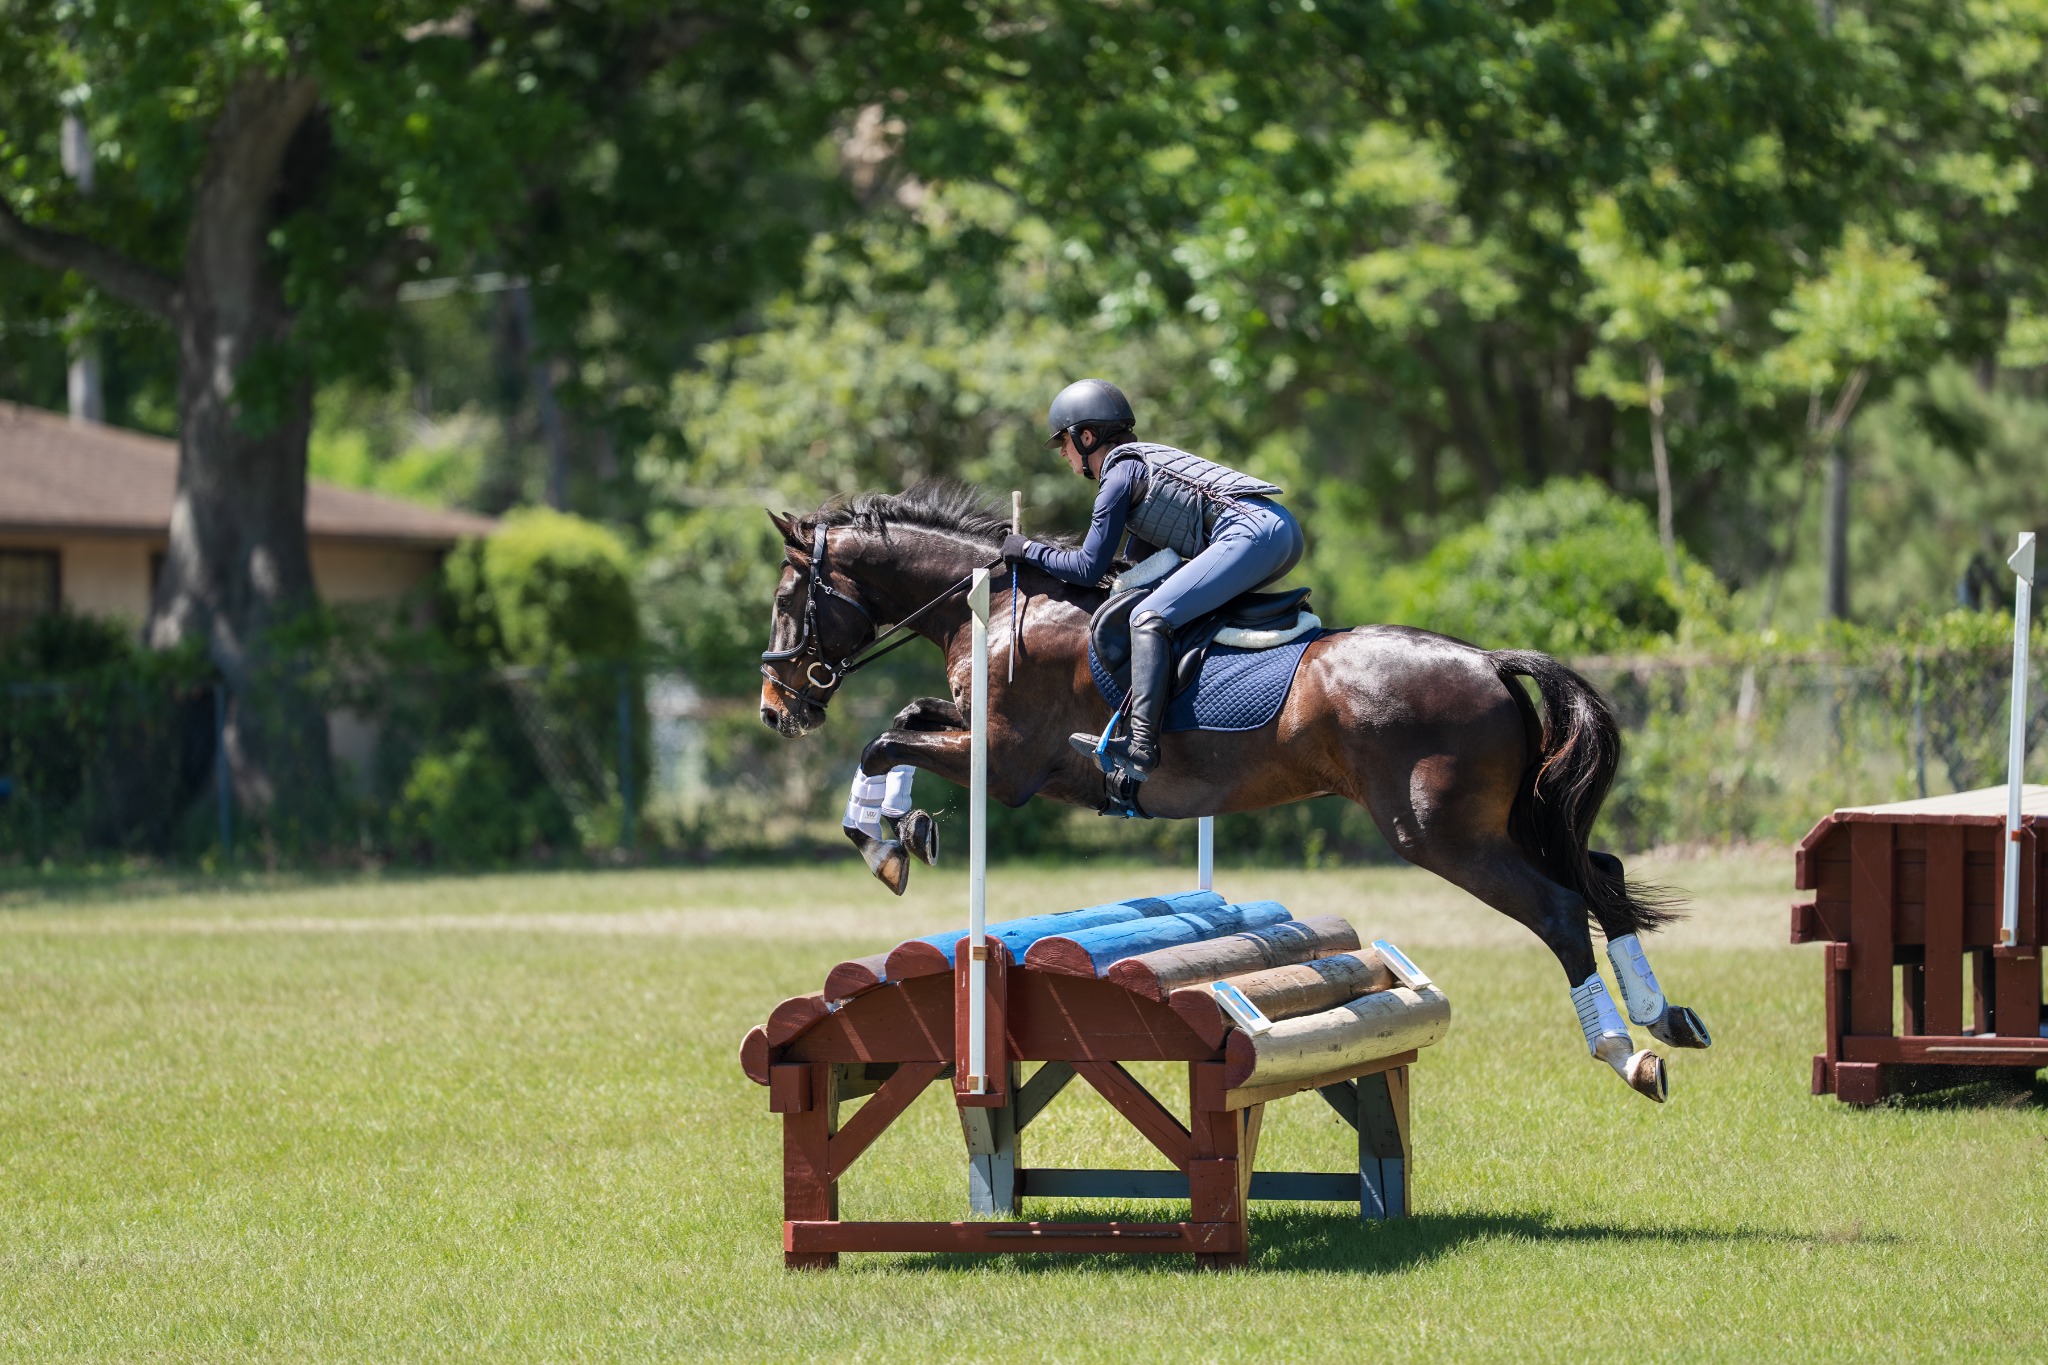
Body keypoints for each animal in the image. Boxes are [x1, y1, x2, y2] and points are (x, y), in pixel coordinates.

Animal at [757, 481, 1711, 1102]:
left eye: (785, 598)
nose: (776, 708)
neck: (997, 609)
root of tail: (1487, 660)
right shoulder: (1013, 750)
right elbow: (904, 723)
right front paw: (899, 828)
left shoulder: (1012, 760)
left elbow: (885, 735)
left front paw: (887, 838)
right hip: (1501, 820)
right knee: (1603, 874)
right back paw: (1666, 1017)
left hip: (1442, 834)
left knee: (1560, 909)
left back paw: (1626, 1054)